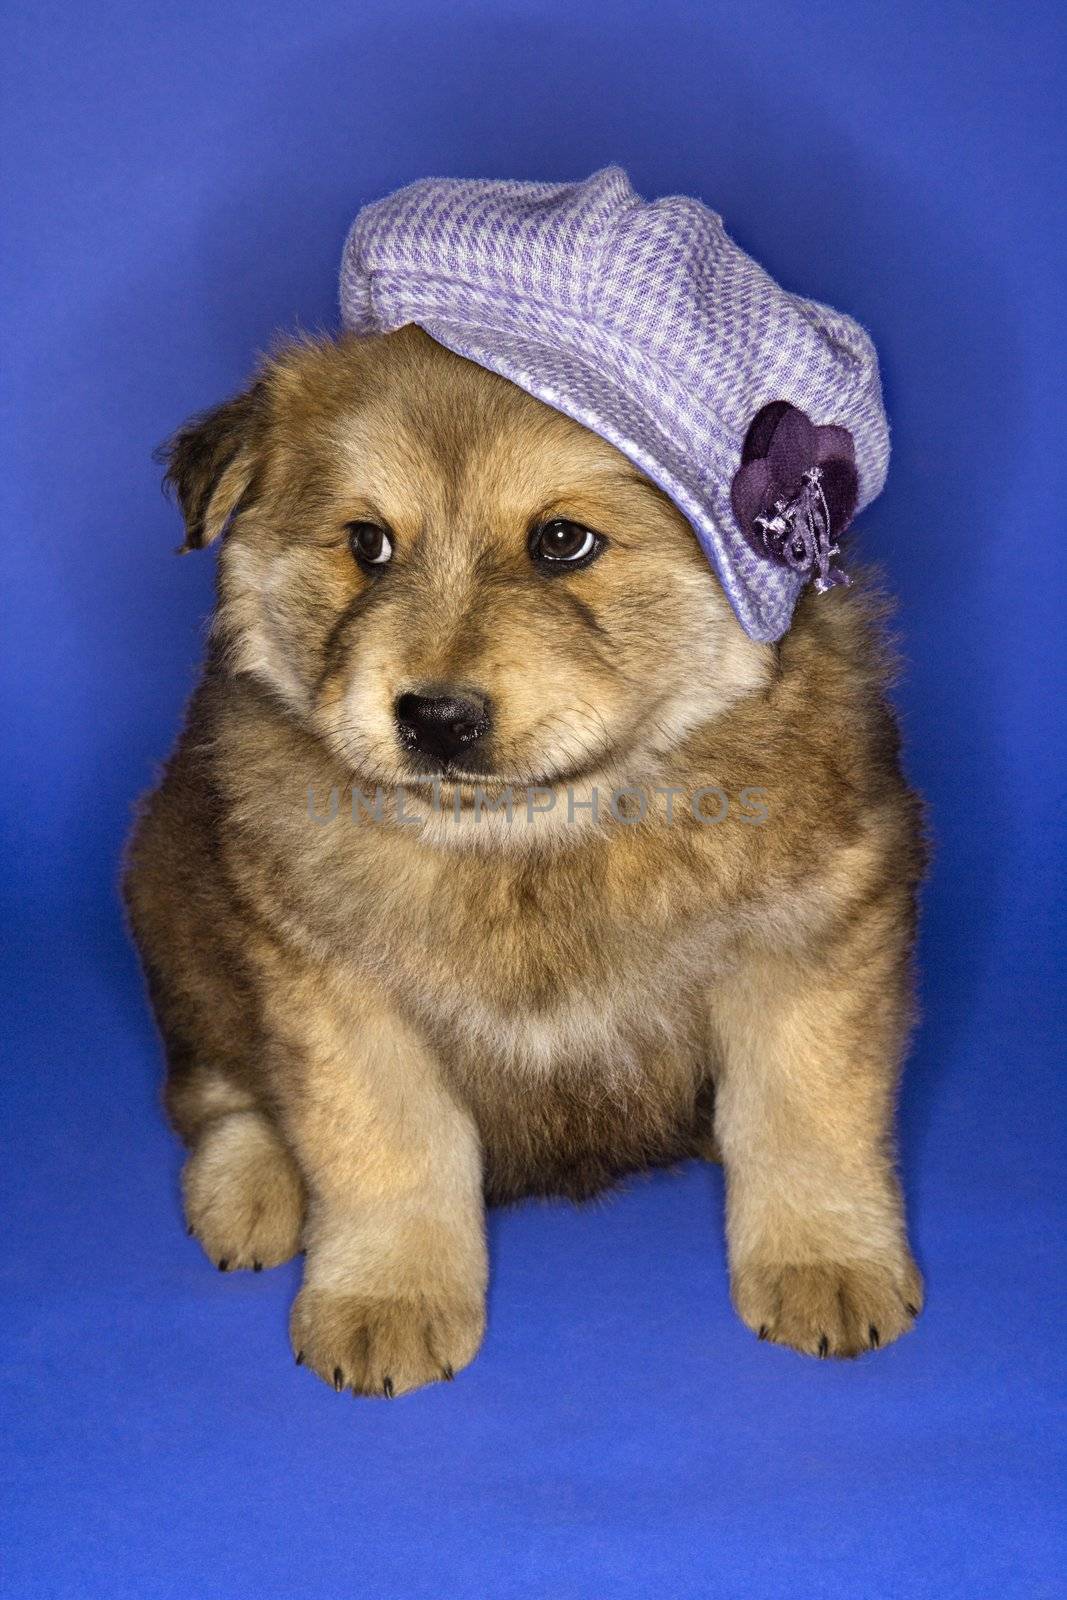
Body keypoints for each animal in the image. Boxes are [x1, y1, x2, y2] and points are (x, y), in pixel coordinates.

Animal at [125, 328, 927, 1401]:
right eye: (366, 544)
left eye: (562, 543)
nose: (435, 717)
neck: (531, 840)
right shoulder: (335, 990)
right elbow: (387, 1150)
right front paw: (385, 1297)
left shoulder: (812, 940)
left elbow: (805, 1118)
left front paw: (826, 1262)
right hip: (177, 914)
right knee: (212, 1090)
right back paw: (249, 1188)